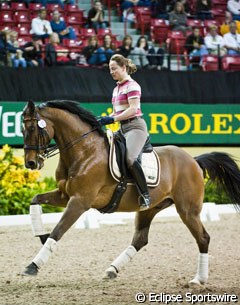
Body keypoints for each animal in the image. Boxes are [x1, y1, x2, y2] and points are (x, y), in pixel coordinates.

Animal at [21, 99, 239, 282]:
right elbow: (35, 199)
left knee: (203, 238)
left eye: (32, 127)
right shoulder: (65, 196)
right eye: (22, 129)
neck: (84, 151)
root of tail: (194, 160)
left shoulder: (80, 201)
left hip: (187, 210)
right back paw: (112, 270)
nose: (31, 163)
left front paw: (32, 266)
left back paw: (199, 280)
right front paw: (40, 234)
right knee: (140, 239)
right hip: (149, 209)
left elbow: (58, 231)